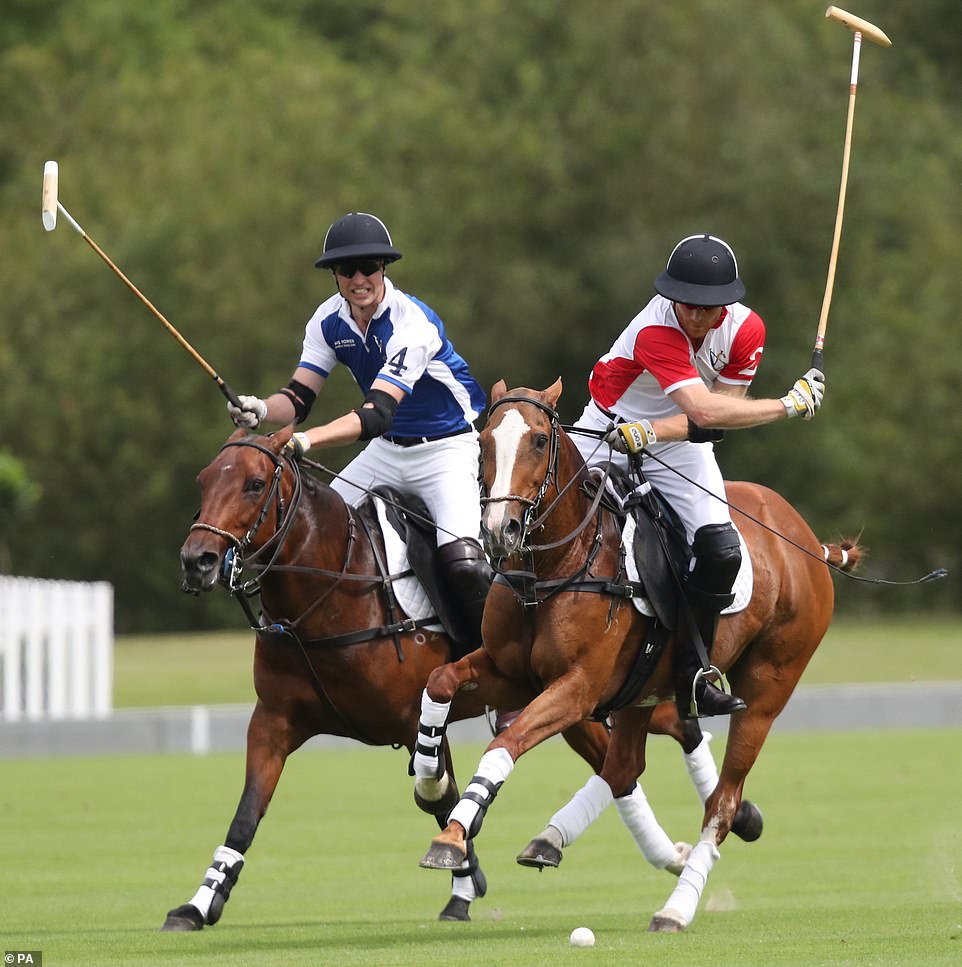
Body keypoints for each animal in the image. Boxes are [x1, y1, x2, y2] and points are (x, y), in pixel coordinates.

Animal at [162, 425, 711, 931]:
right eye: (204, 480)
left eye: (255, 484)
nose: (196, 560)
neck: (330, 596)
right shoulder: (272, 722)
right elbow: (246, 816)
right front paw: (197, 905)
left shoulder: (413, 722)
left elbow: (438, 792)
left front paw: (464, 878)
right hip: (583, 705)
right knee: (622, 767)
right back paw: (672, 854)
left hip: (603, 690)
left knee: (674, 730)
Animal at [416, 380, 859, 932]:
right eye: (483, 441)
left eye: (539, 440)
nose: (502, 530)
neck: (553, 567)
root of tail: (808, 542)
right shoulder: (514, 674)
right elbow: (440, 680)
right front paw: (432, 785)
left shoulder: (578, 687)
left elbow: (505, 744)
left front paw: (450, 837)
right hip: (640, 690)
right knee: (624, 767)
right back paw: (551, 839)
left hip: (768, 687)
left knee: (722, 801)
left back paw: (676, 907)